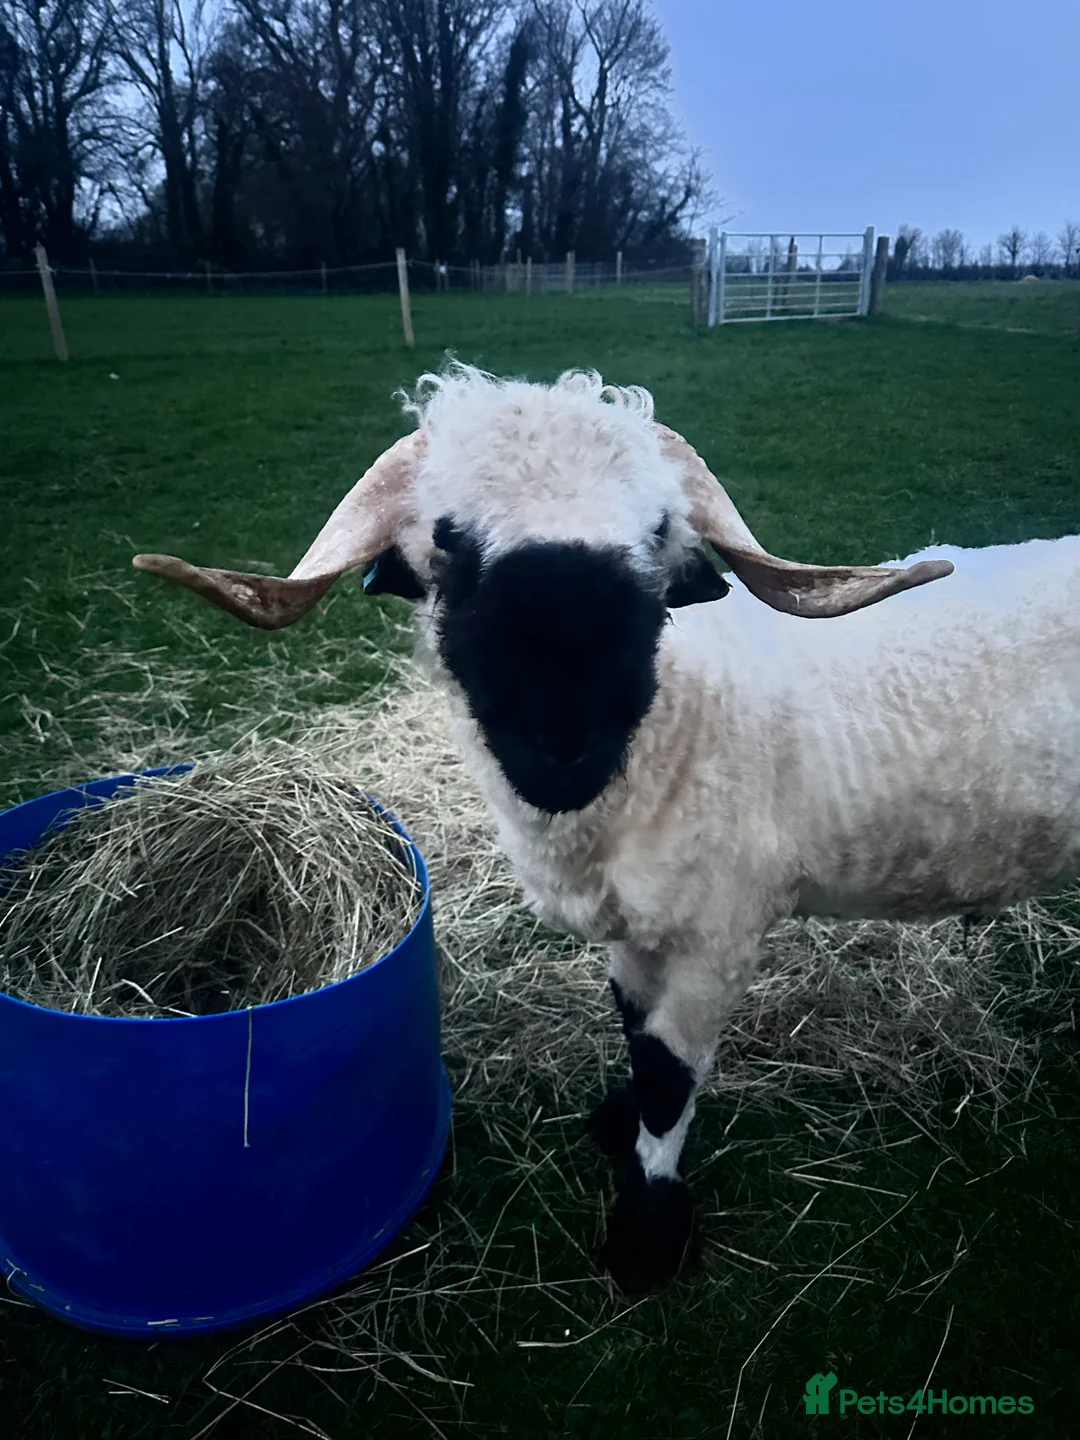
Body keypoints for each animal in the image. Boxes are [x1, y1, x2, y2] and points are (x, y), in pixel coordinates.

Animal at [132, 364, 1080, 1295]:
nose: (565, 742)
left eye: (658, 532)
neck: (681, 729)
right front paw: (619, 1126)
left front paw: (649, 1230)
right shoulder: (637, 921)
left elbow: (668, 1074)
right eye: (448, 538)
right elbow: (633, 1026)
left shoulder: (720, 930)